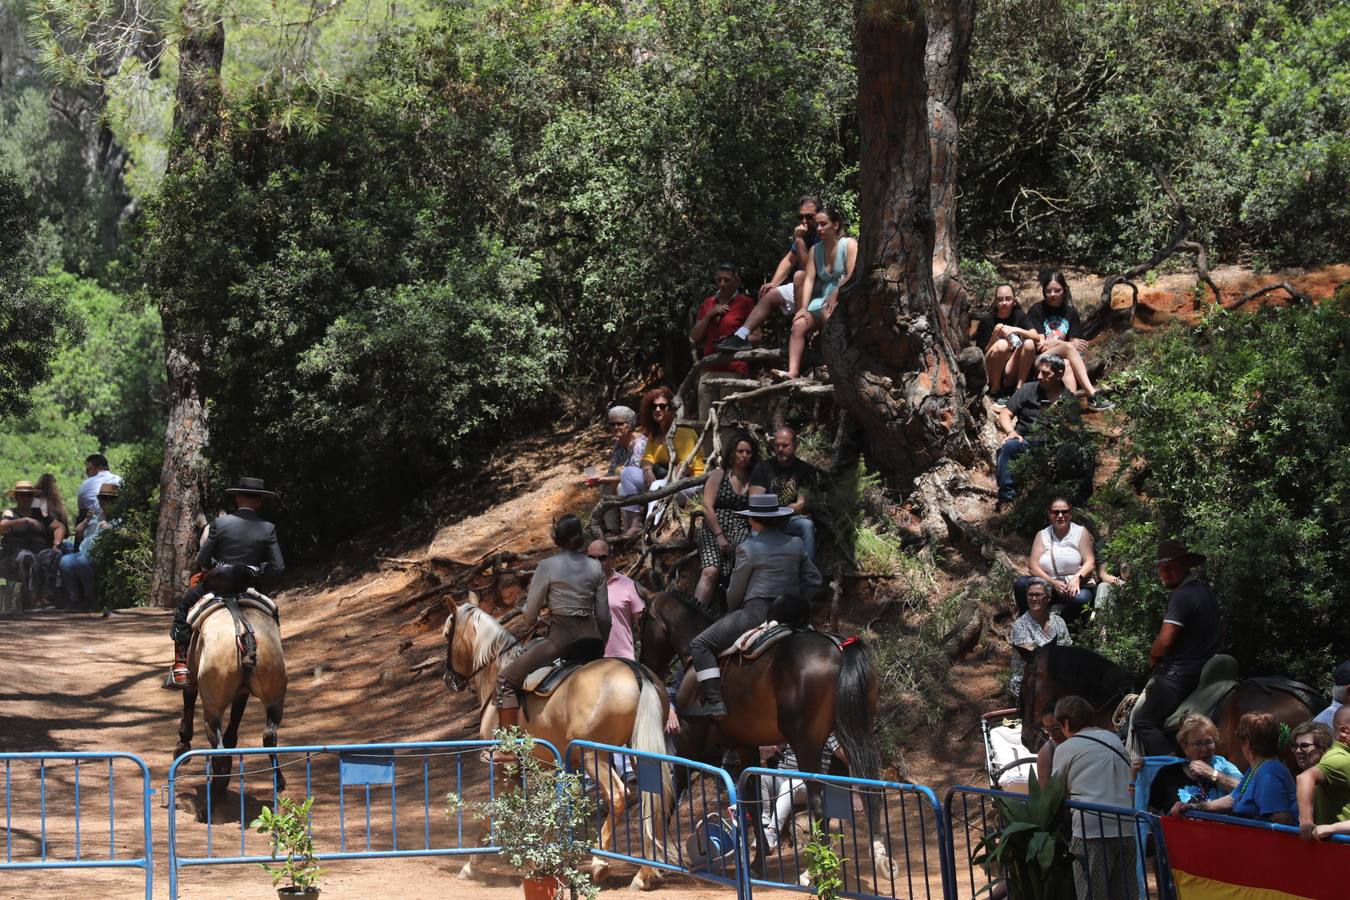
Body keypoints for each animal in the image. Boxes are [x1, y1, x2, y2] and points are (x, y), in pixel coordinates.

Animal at [174, 599, 287, 814]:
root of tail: (244, 631)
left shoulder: (192, 680)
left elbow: (188, 704)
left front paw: (182, 746)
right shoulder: (242, 694)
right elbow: (232, 734)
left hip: (212, 708)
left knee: (218, 749)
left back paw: (209, 803)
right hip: (275, 697)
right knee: (269, 735)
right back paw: (278, 780)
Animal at [442, 593, 675, 890]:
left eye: (447, 633)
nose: (449, 679)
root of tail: (636, 671)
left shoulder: (506, 769)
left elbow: (494, 813)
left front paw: (472, 864)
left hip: (594, 756)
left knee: (620, 796)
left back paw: (601, 863)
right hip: (637, 751)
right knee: (653, 799)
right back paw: (643, 873)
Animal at [639, 591, 891, 874]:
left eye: (642, 620)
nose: (645, 664)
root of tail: (839, 647)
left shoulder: (689, 743)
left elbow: (672, 792)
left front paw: (656, 857)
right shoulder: (745, 746)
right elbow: (752, 796)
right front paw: (759, 859)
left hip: (806, 743)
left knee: (818, 801)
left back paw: (819, 872)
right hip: (853, 733)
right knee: (866, 788)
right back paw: (875, 855)